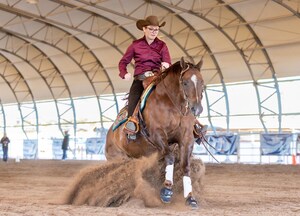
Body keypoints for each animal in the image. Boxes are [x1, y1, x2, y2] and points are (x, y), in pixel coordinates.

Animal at [105, 57, 204, 208]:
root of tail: (109, 135)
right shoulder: (157, 134)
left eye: (202, 82)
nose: (197, 108)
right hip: (117, 159)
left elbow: (185, 166)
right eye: (185, 82)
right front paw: (166, 192)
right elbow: (170, 157)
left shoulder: (186, 138)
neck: (173, 105)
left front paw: (190, 197)